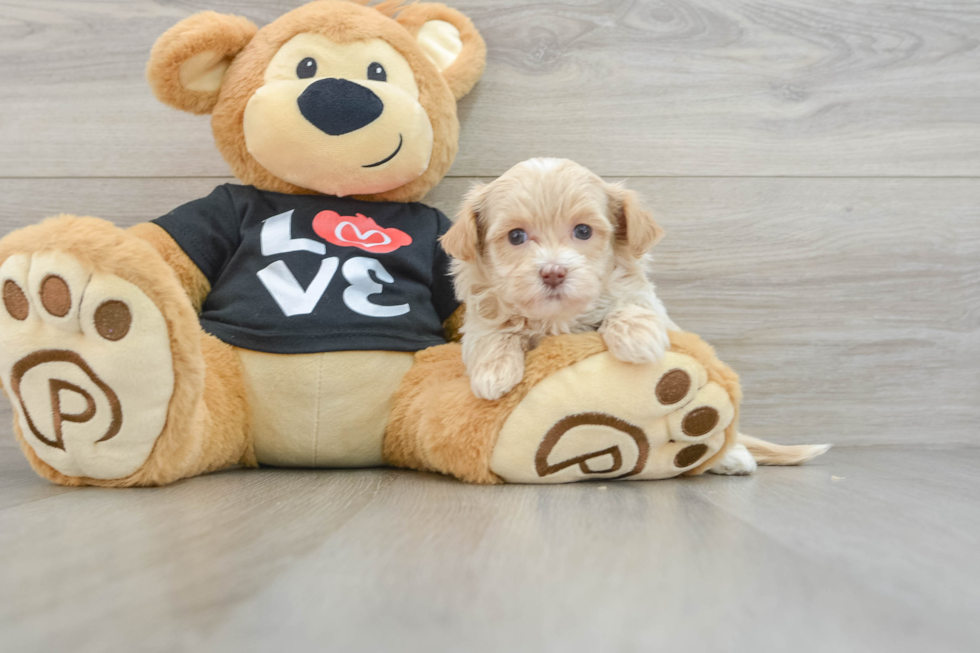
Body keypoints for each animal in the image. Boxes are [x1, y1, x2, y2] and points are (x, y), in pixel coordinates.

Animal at [442, 158, 672, 402]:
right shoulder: (480, 312)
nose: (553, 273)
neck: (556, 318)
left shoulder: (640, 293)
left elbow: (630, 299)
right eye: (516, 236)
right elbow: (492, 331)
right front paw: (493, 372)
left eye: (583, 231)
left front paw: (637, 336)